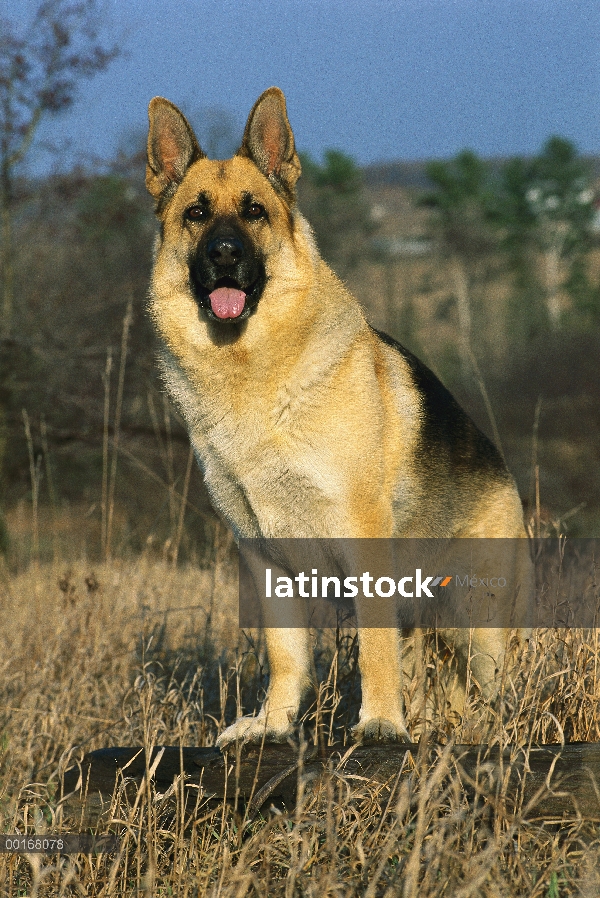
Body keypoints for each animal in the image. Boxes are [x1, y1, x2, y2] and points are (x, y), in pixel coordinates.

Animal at [146, 87, 528, 744]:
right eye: (196, 214)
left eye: (253, 211)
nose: (224, 254)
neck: (253, 371)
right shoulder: (264, 557)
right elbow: (286, 654)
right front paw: (272, 724)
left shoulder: (363, 537)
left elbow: (373, 648)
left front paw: (379, 724)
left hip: (475, 621)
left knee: (490, 685)